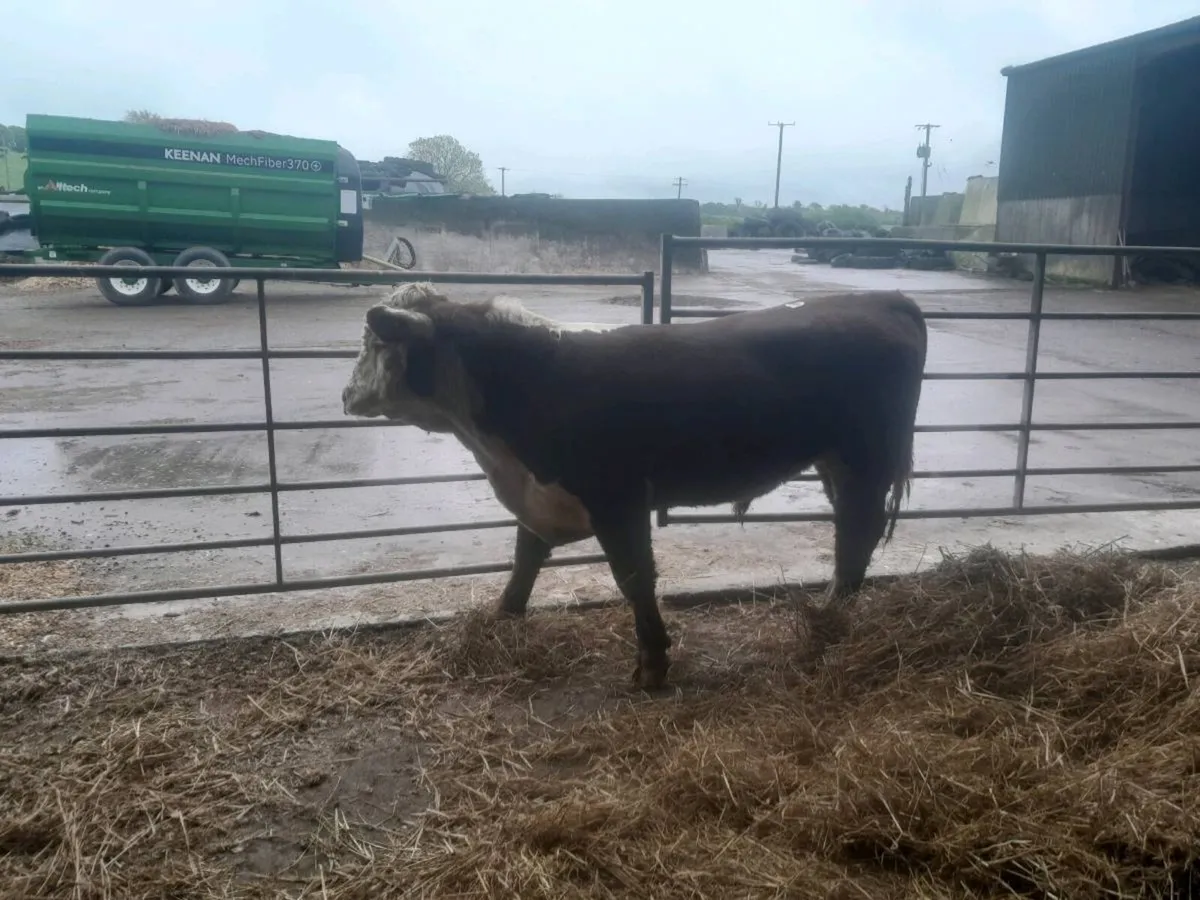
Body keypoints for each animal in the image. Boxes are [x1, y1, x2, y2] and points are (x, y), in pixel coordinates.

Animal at [341, 283, 928, 690]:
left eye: (373, 342)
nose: (346, 395)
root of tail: (882, 298)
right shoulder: (543, 495)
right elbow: (525, 559)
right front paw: (502, 617)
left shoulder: (616, 499)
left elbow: (634, 579)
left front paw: (652, 663)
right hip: (836, 462)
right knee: (853, 533)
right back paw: (831, 610)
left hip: (864, 457)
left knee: (857, 532)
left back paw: (831, 616)